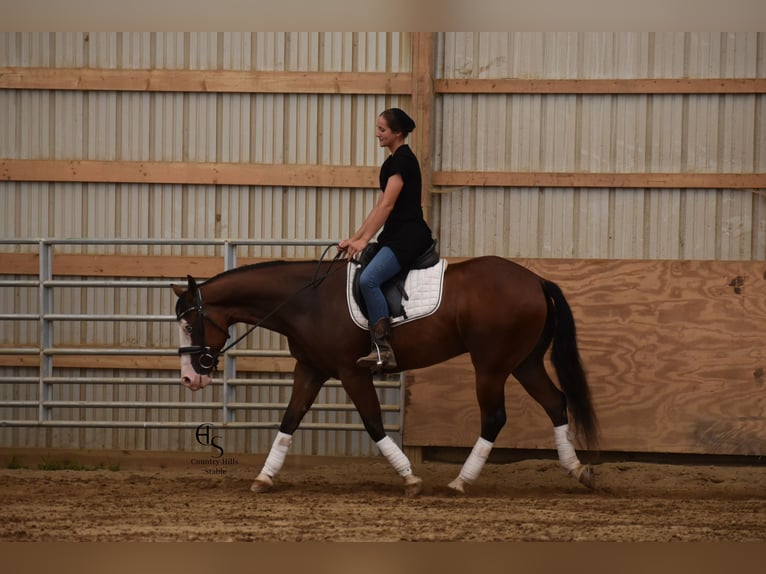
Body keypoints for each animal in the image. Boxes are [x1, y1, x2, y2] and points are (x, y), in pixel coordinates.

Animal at [172, 252, 599, 497]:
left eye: (190, 325)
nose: (191, 379)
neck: (307, 300)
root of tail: (535, 280)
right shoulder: (311, 368)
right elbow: (289, 421)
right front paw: (264, 477)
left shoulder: (351, 371)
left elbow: (374, 422)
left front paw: (410, 479)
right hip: (524, 362)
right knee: (555, 402)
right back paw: (578, 470)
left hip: (491, 366)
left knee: (495, 417)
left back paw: (462, 481)